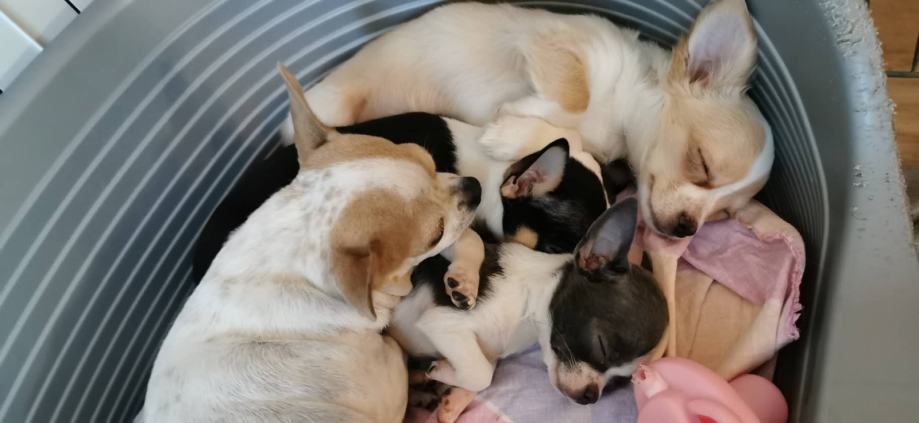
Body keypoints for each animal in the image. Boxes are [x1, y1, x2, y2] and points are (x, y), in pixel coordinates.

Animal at [290, 0, 774, 239]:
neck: (618, 117)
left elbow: (571, 132)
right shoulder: (557, 44)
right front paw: (507, 129)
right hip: (334, 101)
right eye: (701, 163)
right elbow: (573, 105)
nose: (685, 230)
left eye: (722, 214)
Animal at [389, 198, 668, 422]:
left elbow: (485, 368)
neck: (526, 316)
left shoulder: (486, 350)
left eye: (617, 383)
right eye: (602, 346)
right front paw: (444, 374)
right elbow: (481, 374)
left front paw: (453, 396)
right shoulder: (441, 322)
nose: (590, 396)